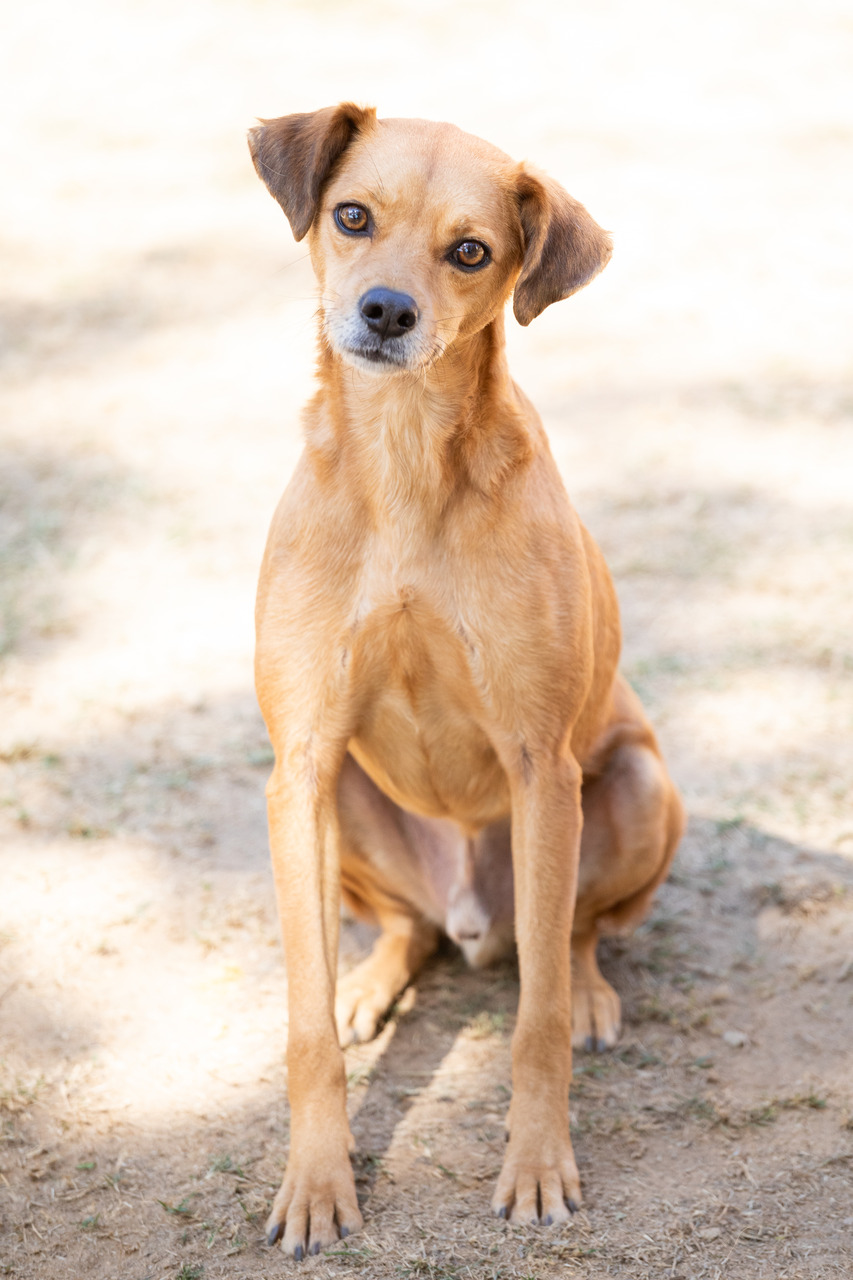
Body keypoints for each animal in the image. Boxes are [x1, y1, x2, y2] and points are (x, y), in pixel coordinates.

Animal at [247, 102, 686, 1259]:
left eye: (471, 251)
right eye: (353, 215)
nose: (384, 311)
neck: (403, 461)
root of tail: (468, 914)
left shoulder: (540, 764)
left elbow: (535, 1025)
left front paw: (536, 1168)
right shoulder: (301, 762)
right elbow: (303, 1030)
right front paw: (317, 1184)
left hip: (624, 789)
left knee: (568, 936)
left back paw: (587, 989)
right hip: (346, 799)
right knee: (403, 929)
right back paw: (369, 984)